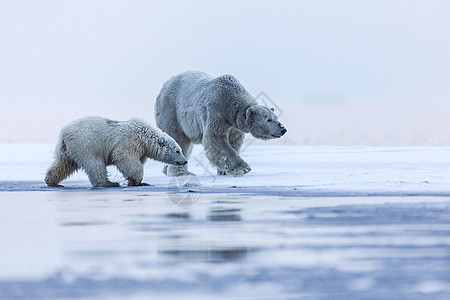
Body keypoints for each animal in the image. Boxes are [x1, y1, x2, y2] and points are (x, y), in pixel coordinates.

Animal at [44, 116, 188, 188]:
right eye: (177, 151)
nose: (185, 161)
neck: (145, 136)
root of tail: (64, 133)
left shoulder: (142, 150)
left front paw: (135, 181)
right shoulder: (130, 141)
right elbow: (124, 158)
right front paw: (138, 181)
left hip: (68, 149)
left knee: (64, 164)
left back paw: (52, 181)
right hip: (87, 144)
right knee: (94, 164)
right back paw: (109, 183)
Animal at [156, 71, 286, 177]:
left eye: (276, 118)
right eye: (268, 119)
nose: (283, 129)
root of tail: (164, 85)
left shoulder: (234, 124)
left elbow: (234, 141)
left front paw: (223, 171)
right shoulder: (216, 111)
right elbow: (215, 138)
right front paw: (242, 168)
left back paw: (166, 170)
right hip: (171, 111)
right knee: (178, 138)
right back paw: (179, 172)